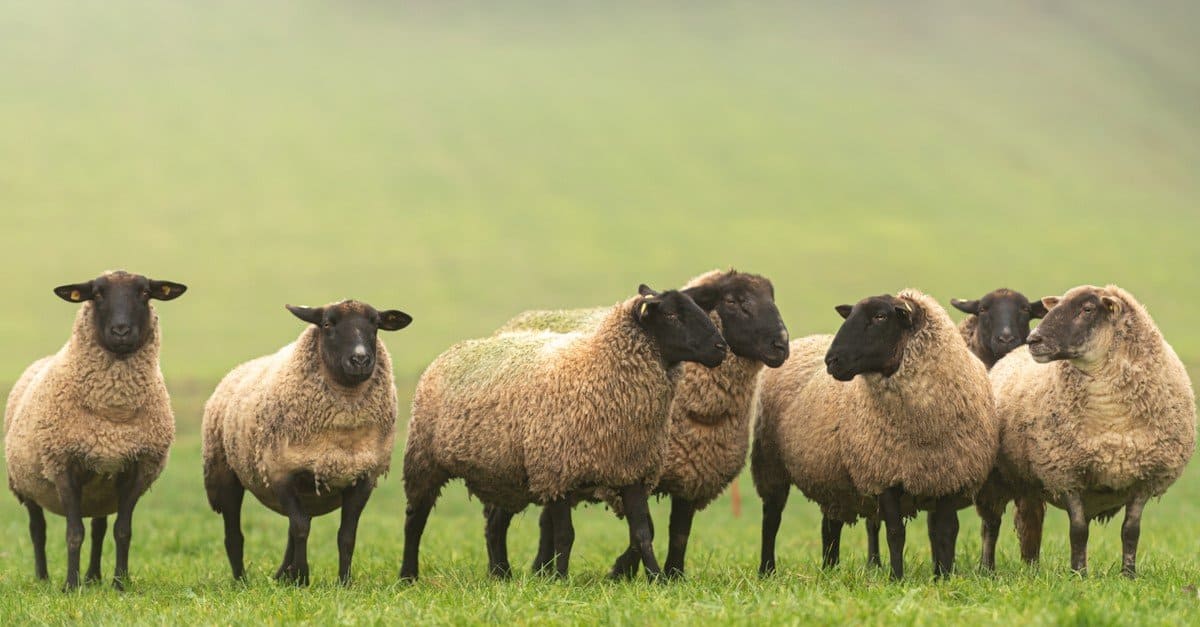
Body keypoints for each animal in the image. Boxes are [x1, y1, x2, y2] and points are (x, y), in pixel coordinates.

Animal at [3, 270, 186, 588]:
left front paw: (120, 584)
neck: (113, 416)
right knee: (37, 529)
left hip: (100, 489)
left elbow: (122, 531)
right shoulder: (63, 465)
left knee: (99, 528)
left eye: (145, 293)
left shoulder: (137, 470)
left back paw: (93, 577)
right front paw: (70, 586)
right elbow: (74, 533)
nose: (121, 331)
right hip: (25, 484)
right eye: (97, 294)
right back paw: (43, 578)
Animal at [511, 267, 792, 576]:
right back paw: (541, 568)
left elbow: (679, 531)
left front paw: (673, 574)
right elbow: (649, 529)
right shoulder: (632, 469)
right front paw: (621, 571)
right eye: (733, 301)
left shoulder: (691, 473)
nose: (781, 345)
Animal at [753, 288, 998, 576]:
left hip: (831, 476)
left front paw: (944, 577)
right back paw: (767, 570)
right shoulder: (884, 473)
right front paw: (897, 577)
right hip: (771, 465)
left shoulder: (949, 476)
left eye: (881, 317)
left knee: (830, 525)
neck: (922, 429)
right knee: (771, 519)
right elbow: (895, 533)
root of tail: (807, 339)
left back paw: (830, 569)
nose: (831, 360)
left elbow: (946, 532)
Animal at [974, 284, 1190, 576]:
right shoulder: (1066, 473)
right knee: (991, 525)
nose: (1033, 339)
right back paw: (987, 569)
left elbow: (1131, 531)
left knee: (1029, 523)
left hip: (1031, 484)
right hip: (995, 479)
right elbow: (1078, 531)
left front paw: (1128, 575)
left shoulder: (1146, 478)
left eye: (1087, 309)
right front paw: (1079, 574)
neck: (1111, 419)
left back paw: (1031, 569)